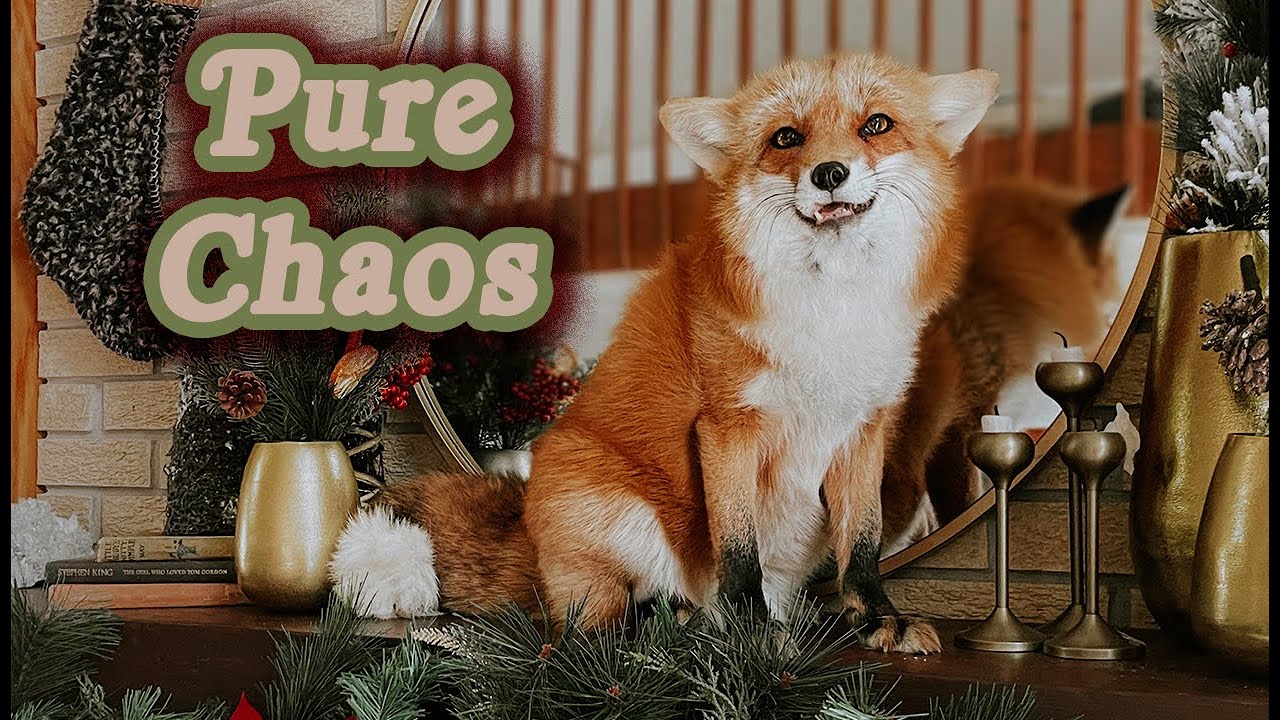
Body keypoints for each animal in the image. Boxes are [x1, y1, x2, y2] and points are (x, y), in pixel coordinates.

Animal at [331, 52, 999, 655]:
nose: (829, 173)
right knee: (582, 633)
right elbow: (738, 550)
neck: (830, 312)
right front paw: (754, 635)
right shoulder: (728, 426)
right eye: (787, 137)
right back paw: (674, 629)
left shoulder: (863, 430)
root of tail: (528, 525)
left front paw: (876, 619)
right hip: (614, 516)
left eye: (876, 125)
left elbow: (861, 544)